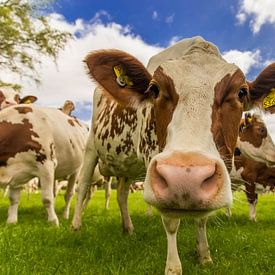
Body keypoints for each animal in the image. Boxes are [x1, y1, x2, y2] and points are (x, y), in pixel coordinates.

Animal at [71, 37, 275, 275]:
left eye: (241, 92)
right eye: (154, 89)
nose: (186, 178)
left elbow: (202, 219)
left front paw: (204, 255)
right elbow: (171, 221)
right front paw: (173, 267)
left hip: (127, 166)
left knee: (121, 193)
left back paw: (128, 229)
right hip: (91, 148)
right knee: (83, 186)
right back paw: (75, 226)